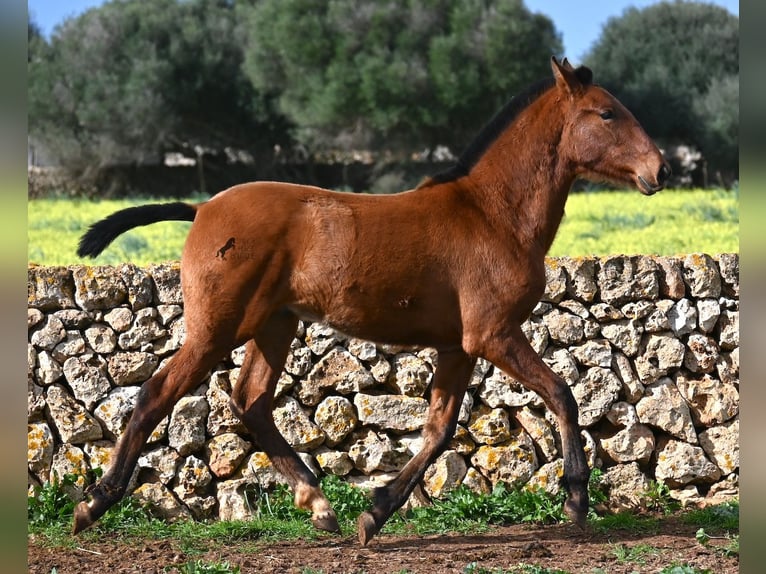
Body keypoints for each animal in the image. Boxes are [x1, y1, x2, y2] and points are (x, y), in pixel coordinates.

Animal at [73, 57, 672, 544]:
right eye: (607, 114)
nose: (661, 170)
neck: (492, 214)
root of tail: (201, 208)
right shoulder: (494, 334)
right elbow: (562, 395)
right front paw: (575, 502)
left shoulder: (459, 346)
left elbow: (438, 429)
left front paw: (375, 512)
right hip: (218, 327)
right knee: (156, 394)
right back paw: (93, 504)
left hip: (274, 325)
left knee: (252, 402)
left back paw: (319, 505)